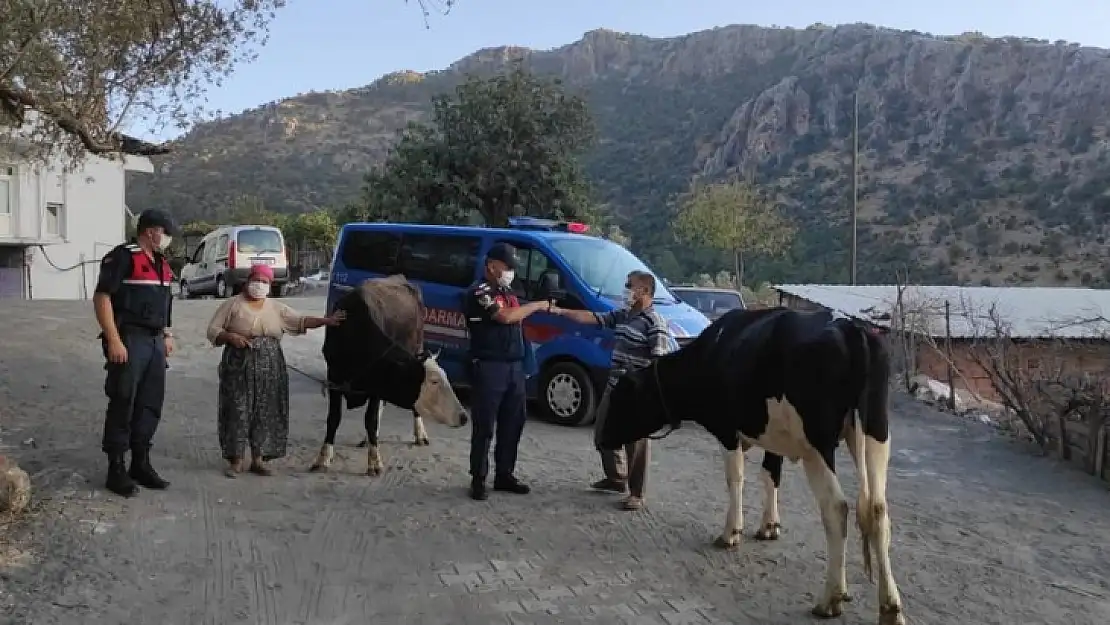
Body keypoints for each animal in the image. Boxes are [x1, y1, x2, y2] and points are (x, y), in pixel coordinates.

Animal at [308, 276, 468, 477]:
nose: (464, 416)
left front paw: (374, 462)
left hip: (418, 344)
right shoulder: (334, 377)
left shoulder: (377, 386)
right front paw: (322, 458)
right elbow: (334, 418)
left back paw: (419, 434)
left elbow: (371, 419)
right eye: (434, 381)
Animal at [599, 308, 901, 625]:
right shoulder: (774, 437)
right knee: (878, 509)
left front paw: (731, 532)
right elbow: (770, 476)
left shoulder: (726, 430)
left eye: (619, 398)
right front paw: (769, 526)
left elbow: (735, 479)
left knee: (836, 507)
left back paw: (831, 599)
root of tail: (849, 327)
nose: (601, 438)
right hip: (876, 431)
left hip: (816, 445)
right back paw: (890, 608)